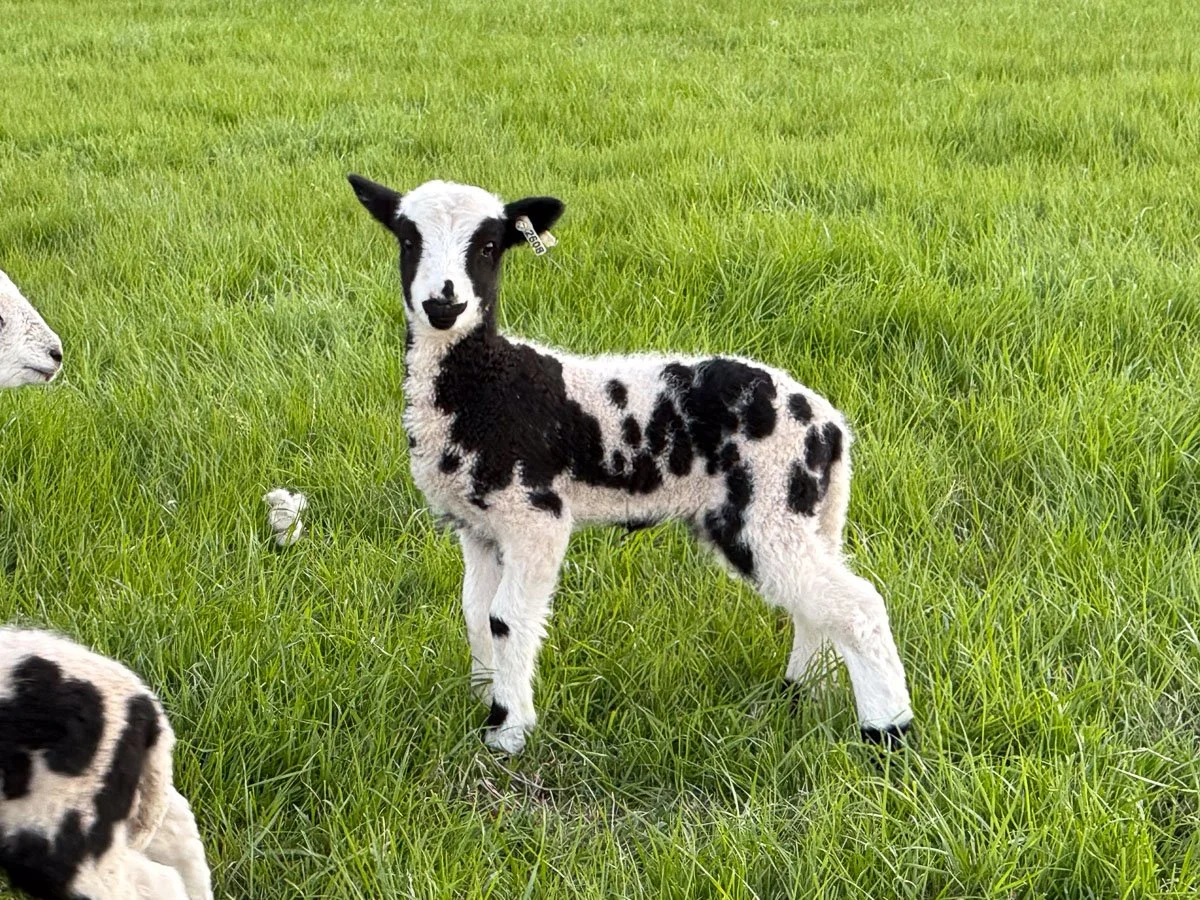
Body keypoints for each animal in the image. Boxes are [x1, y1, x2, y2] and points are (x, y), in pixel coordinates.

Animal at [348, 176, 914, 755]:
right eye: (408, 241)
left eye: (488, 247)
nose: (444, 304)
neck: (486, 385)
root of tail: (831, 427)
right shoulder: (478, 526)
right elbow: (475, 614)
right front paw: (482, 700)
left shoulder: (534, 514)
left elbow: (507, 618)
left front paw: (507, 731)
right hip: (803, 512)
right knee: (814, 603)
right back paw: (802, 694)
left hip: (767, 504)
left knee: (858, 606)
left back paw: (888, 730)